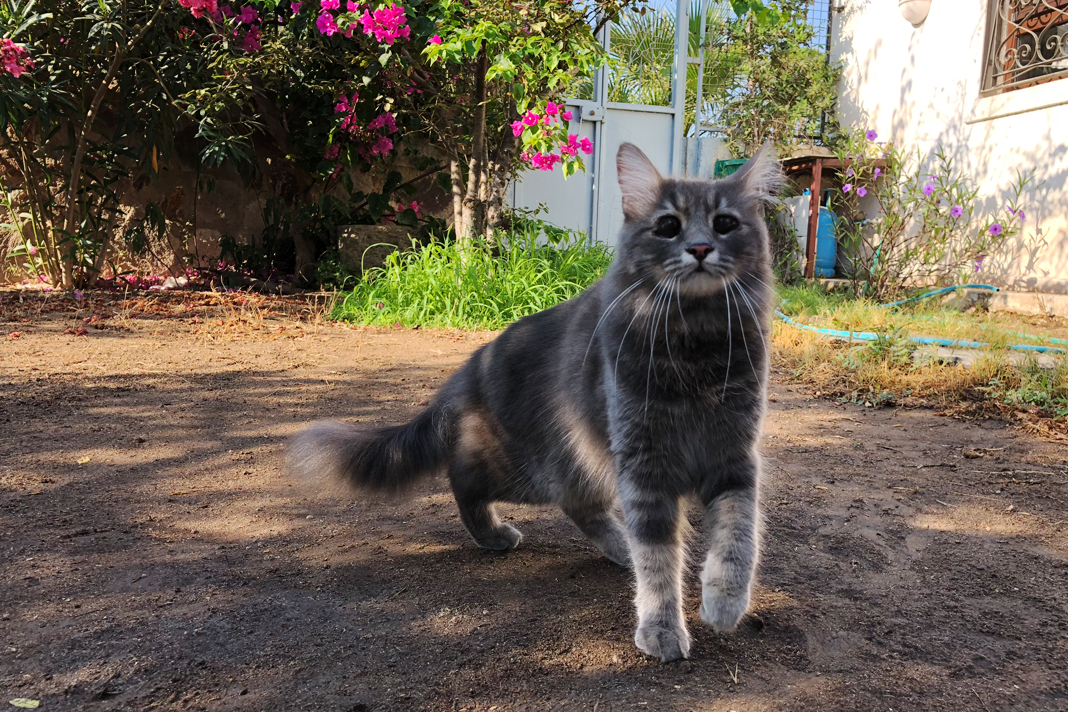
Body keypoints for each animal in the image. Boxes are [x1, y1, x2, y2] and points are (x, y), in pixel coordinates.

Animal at [288, 142, 782, 662]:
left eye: (725, 223)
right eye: (668, 225)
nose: (701, 247)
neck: (695, 345)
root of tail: (469, 370)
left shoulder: (734, 458)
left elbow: (738, 538)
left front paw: (725, 603)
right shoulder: (644, 464)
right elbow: (658, 558)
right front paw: (661, 628)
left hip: (579, 463)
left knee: (579, 506)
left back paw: (616, 548)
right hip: (525, 467)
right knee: (463, 479)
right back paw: (494, 534)